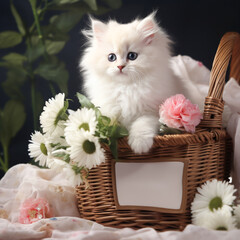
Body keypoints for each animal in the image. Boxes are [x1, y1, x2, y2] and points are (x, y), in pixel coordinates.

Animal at [80, 12, 204, 154]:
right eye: (111, 57)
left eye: (132, 56)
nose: (120, 66)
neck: (127, 88)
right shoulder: (107, 108)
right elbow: (105, 121)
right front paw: (97, 134)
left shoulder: (152, 112)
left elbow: (142, 124)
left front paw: (139, 146)